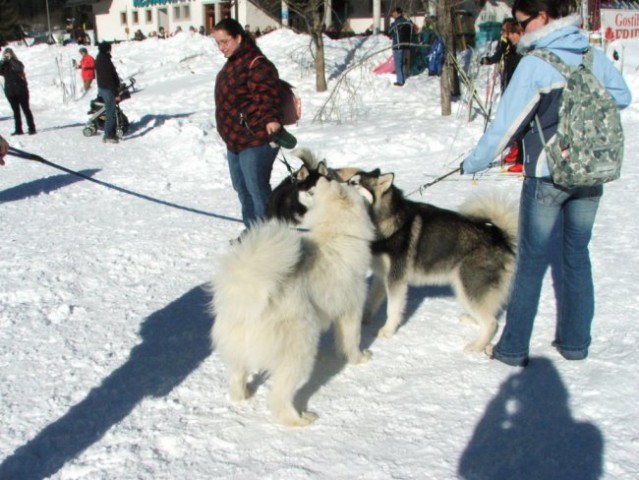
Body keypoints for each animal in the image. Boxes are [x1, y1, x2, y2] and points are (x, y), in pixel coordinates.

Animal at [210, 178, 376, 426]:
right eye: (350, 183)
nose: (358, 181)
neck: (337, 233)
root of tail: (245, 294)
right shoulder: (351, 307)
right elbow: (352, 339)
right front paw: (360, 358)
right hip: (299, 348)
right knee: (280, 396)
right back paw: (300, 419)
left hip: (238, 351)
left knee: (237, 377)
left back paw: (243, 395)